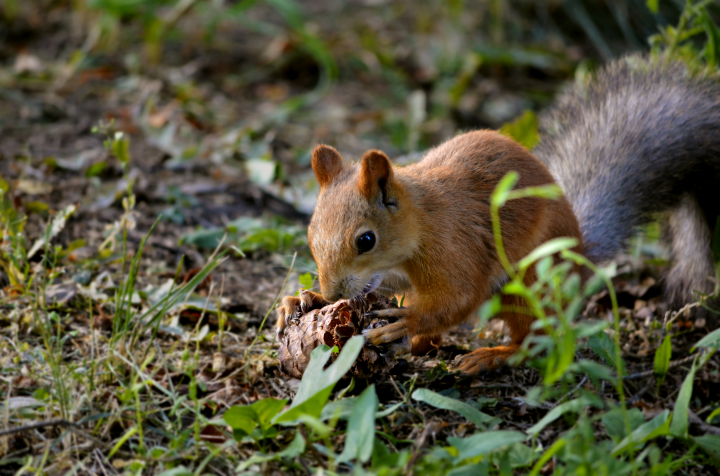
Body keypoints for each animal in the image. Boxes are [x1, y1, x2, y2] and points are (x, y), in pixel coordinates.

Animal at [276, 56, 720, 375]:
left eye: (366, 240)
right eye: (311, 236)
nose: (333, 292)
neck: (418, 225)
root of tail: (578, 256)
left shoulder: (455, 247)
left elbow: (456, 298)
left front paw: (405, 322)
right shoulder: (396, 279)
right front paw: (303, 299)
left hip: (531, 282)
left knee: (533, 342)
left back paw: (490, 355)